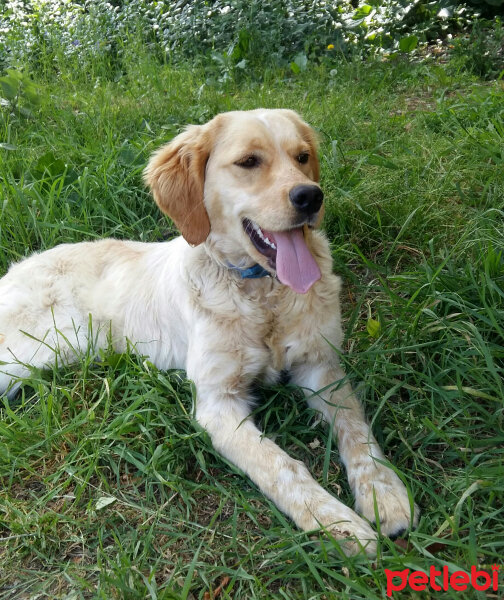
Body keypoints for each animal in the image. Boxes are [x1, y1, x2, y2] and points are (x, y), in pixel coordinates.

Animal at [0, 109, 418, 552]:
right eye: (249, 161)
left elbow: (356, 429)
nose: (310, 197)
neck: (262, 292)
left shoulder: (321, 367)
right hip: (43, 349)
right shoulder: (218, 403)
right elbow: (279, 465)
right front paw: (337, 524)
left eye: (302, 156)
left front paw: (384, 493)